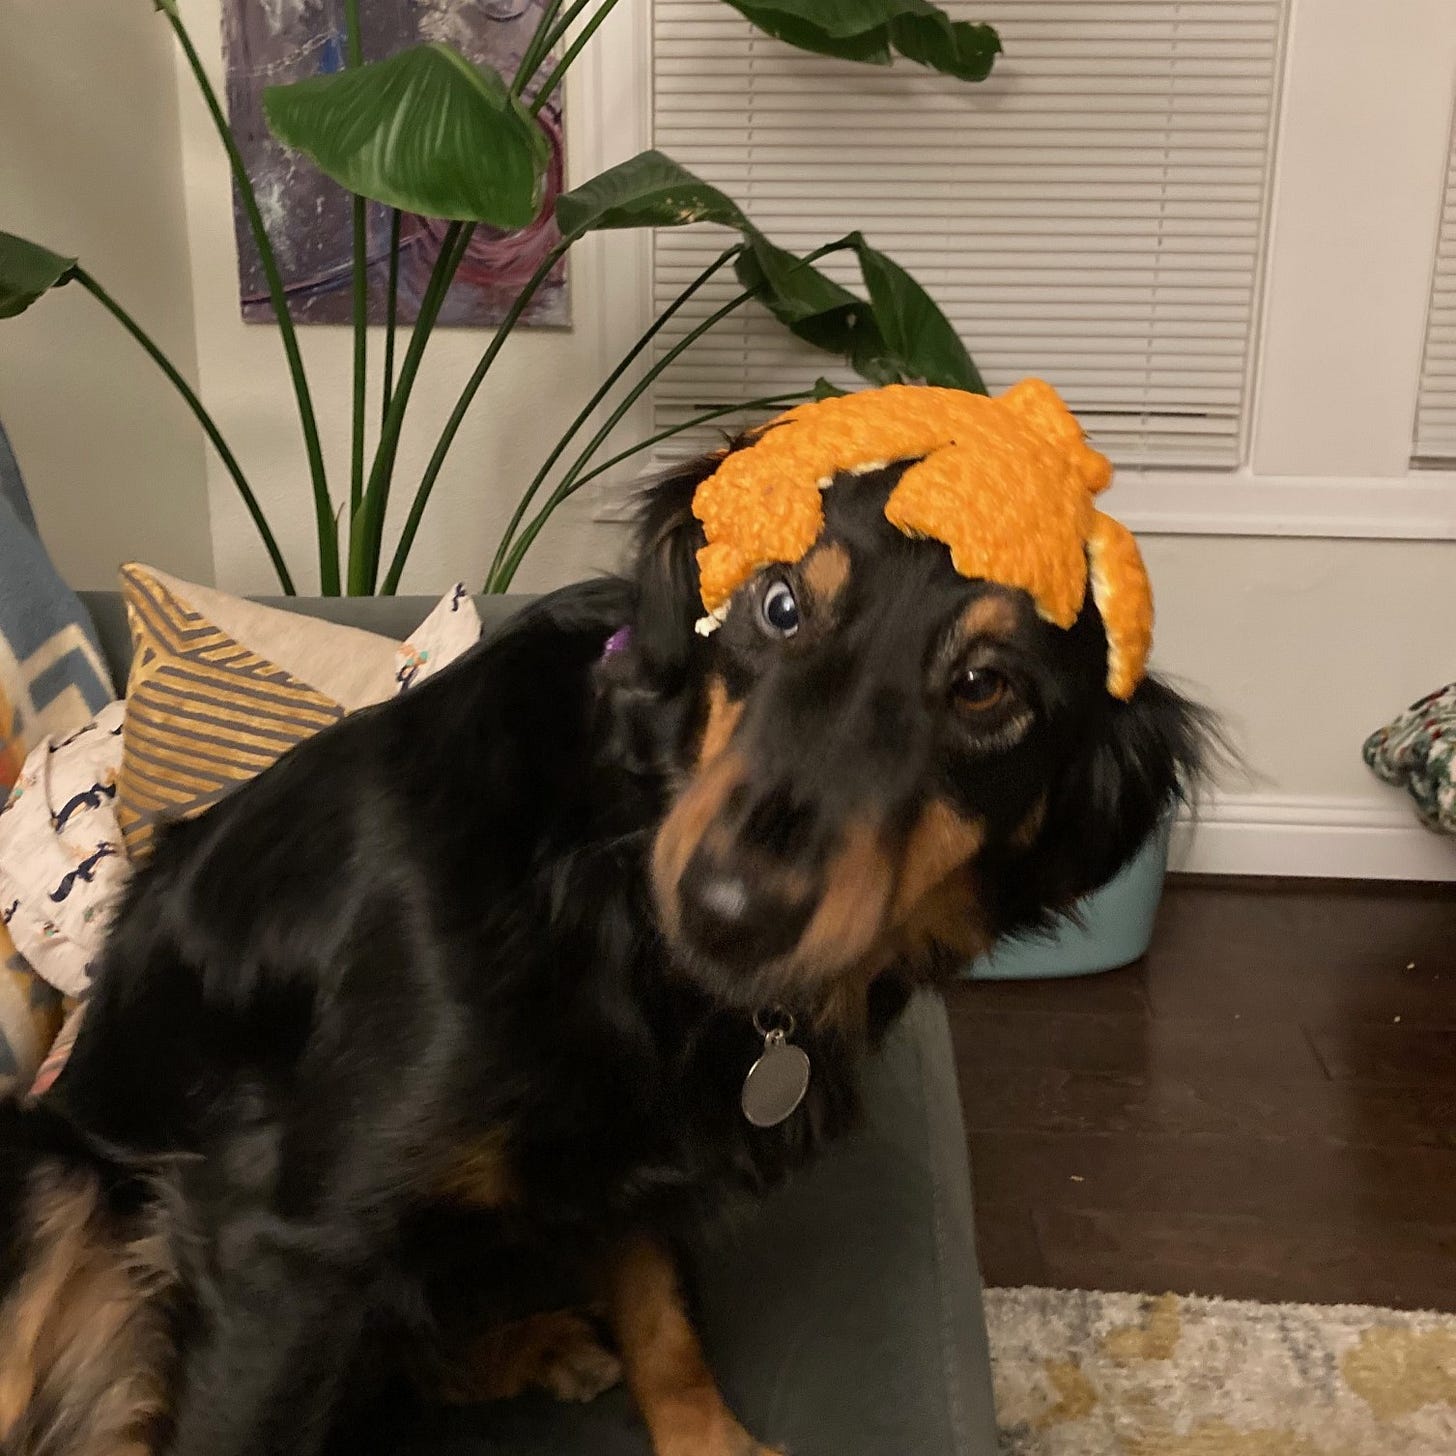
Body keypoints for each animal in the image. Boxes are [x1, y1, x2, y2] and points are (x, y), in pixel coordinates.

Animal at [0, 448, 1205, 1450]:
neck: (608, 880)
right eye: (778, 605)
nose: (728, 911)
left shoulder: (641, 1155)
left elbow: (661, 1315)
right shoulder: (282, 1250)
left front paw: (708, 1440)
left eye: (984, 687)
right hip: (52, 1177)